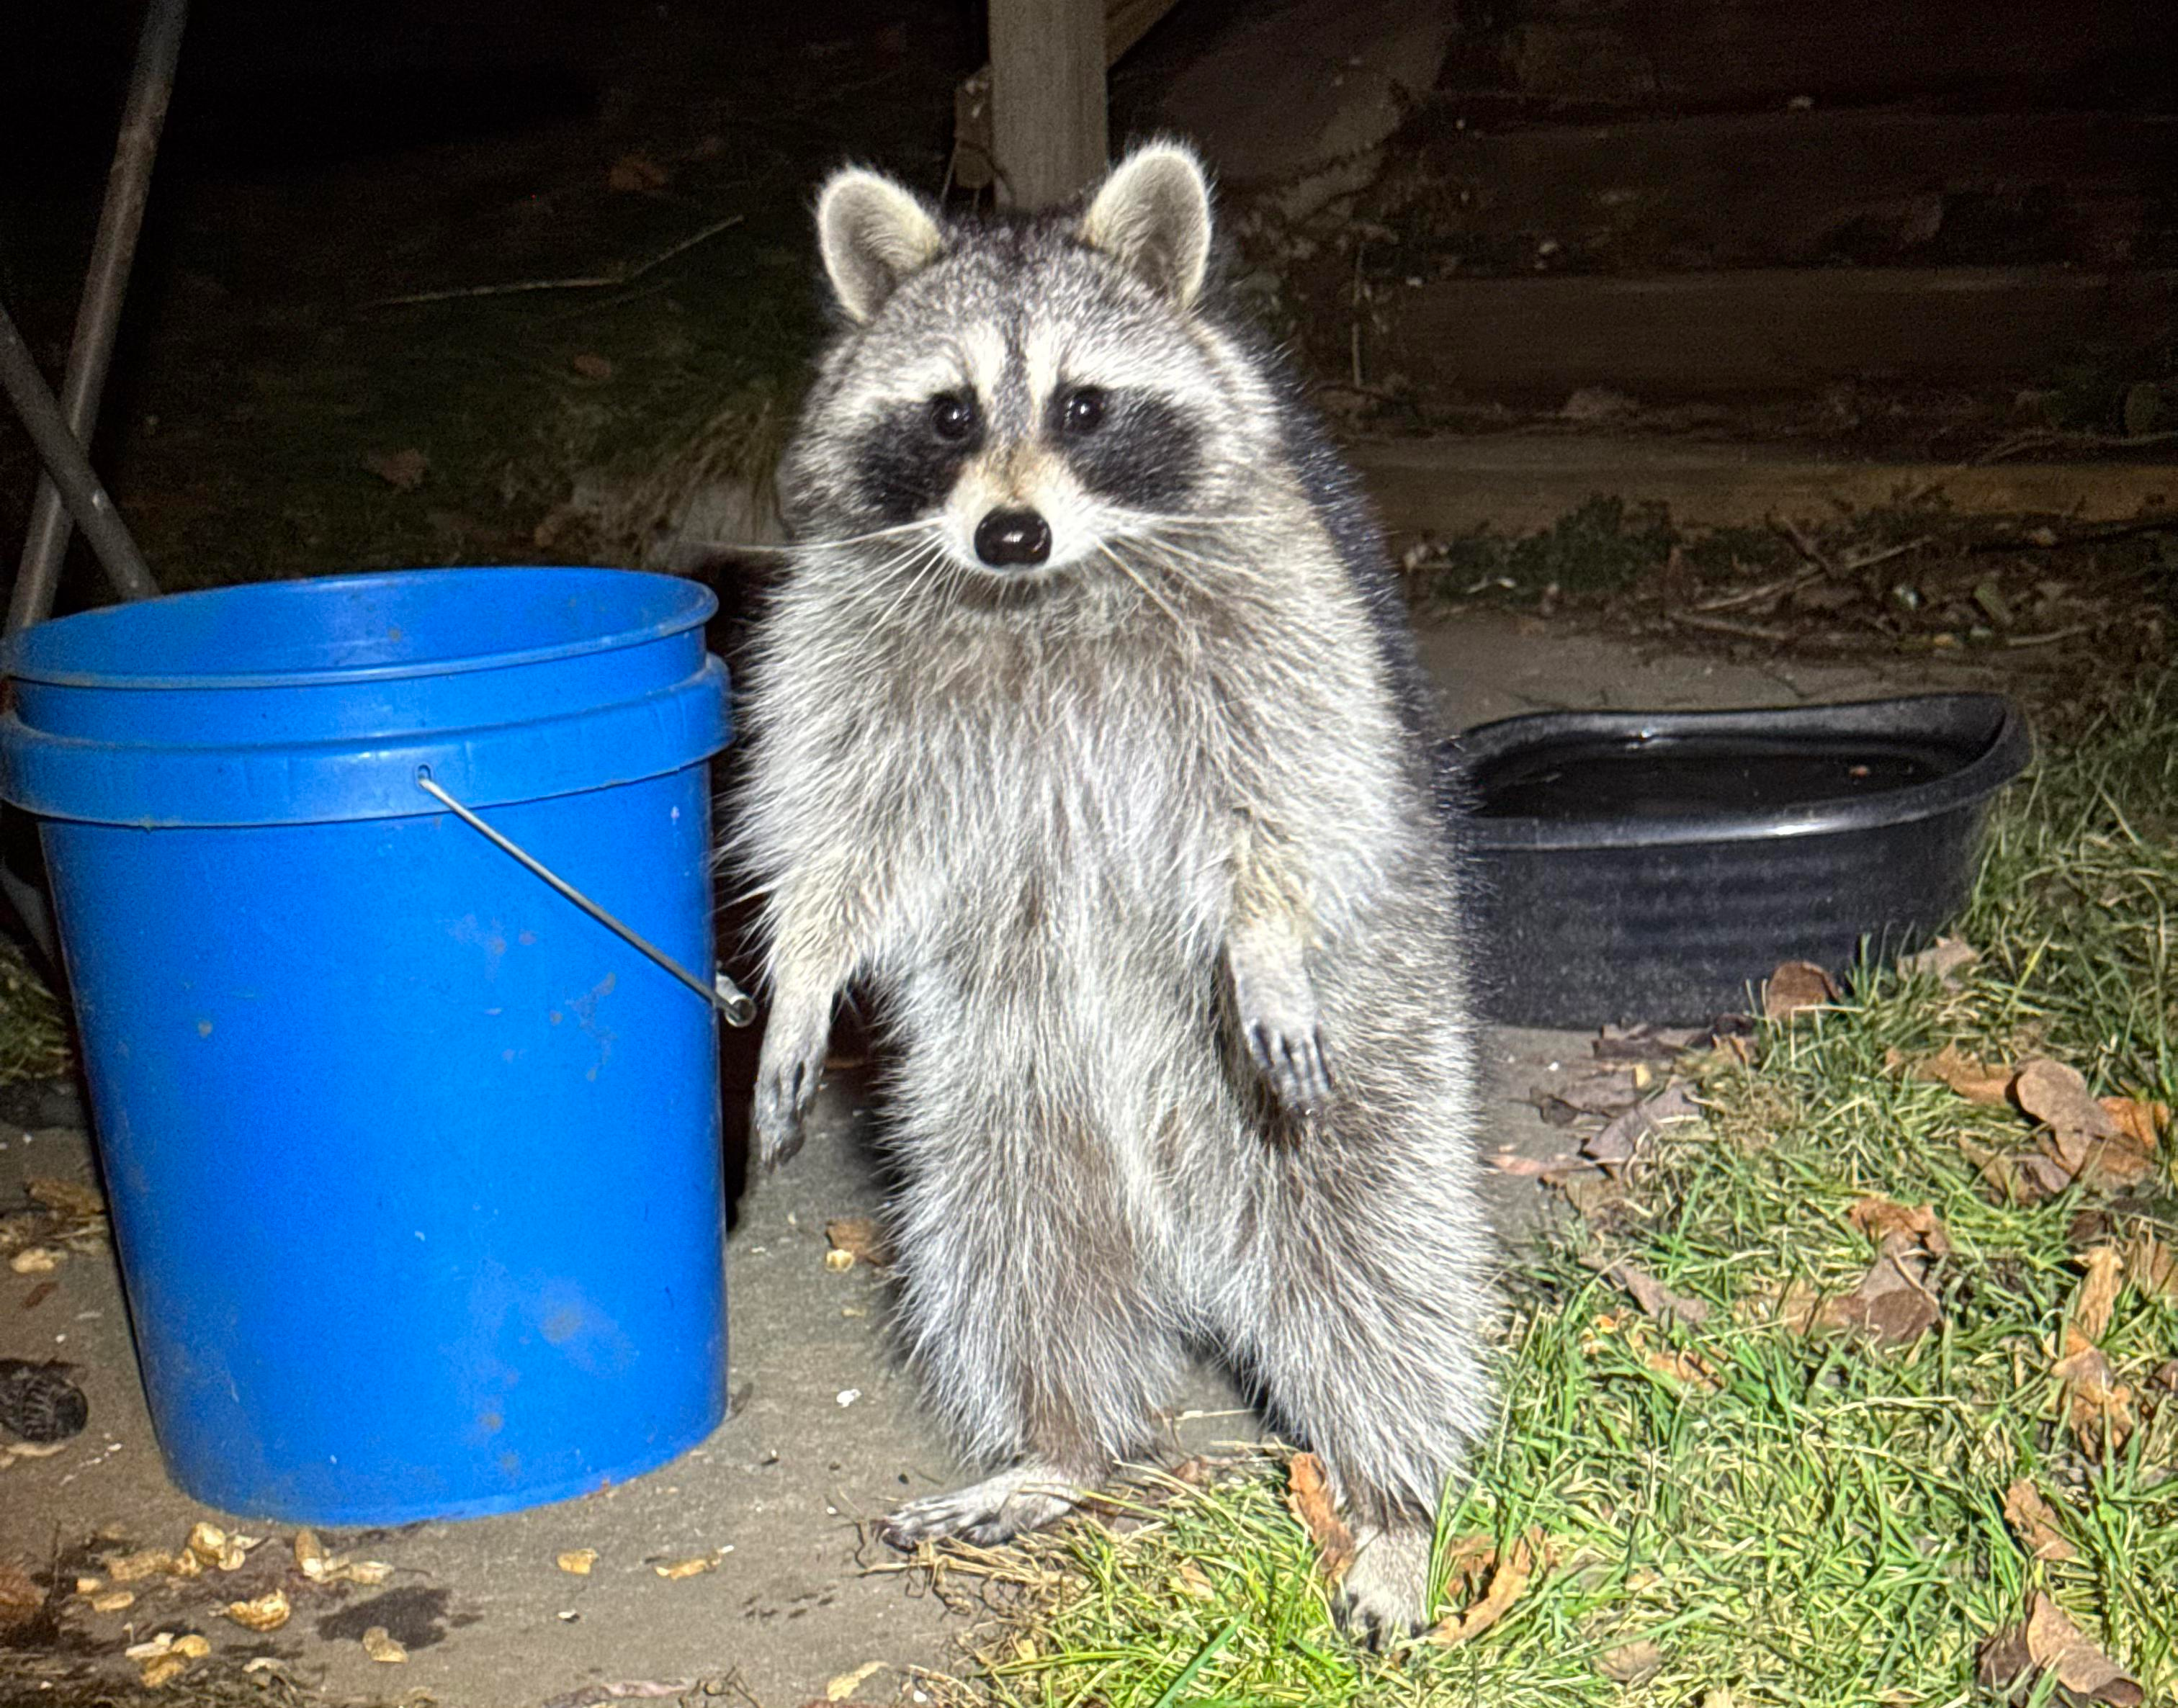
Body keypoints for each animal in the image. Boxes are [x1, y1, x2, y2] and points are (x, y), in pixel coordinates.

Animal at [735, 142, 1498, 1639]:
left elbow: (1283, 789)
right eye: (950, 411)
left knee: (1369, 1250)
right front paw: (801, 972)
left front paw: (1262, 931)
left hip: (1368, 1022)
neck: (1044, 595)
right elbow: (838, 822)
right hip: (998, 1072)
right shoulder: (841, 629)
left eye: (1082, 406)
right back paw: (1062, 1445)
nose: (1009, 531)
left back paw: (1391, 1496)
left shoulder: (1278, 607)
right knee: (1010, 1237)